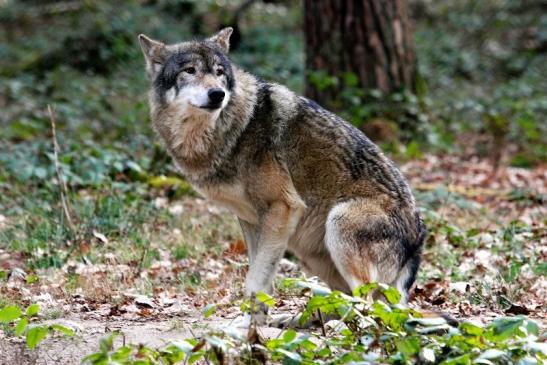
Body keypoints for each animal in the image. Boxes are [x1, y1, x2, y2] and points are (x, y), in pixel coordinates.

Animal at [138, 28, 428, 322]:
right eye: (190, 70)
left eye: (219, 72)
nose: (218, 94)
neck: (232, 130)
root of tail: (418, 245)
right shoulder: (251, 219)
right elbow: (260, 276)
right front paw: (255, 324)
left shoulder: (283, 207)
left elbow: (255, 281)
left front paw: (248, 327)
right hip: (310, 251)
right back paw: (299, 322)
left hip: (337, 222)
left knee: (370, 305)